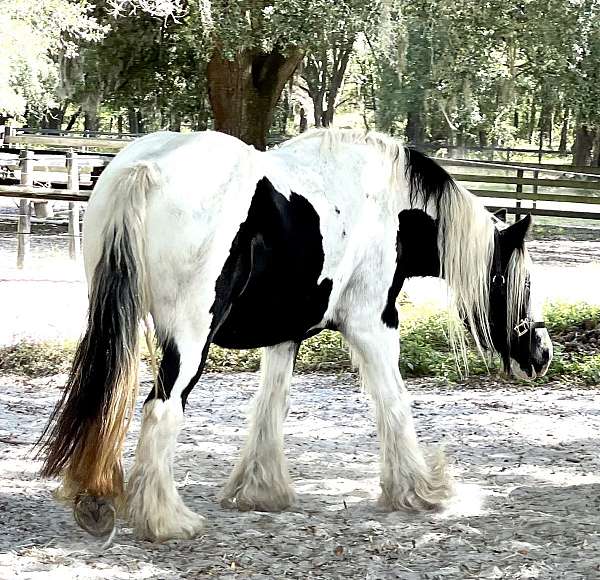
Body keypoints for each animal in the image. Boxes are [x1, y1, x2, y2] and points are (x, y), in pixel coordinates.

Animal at [38, 129, 552, 540]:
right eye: (519, 282)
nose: (542, 353)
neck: (388, 207)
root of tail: (145, 169)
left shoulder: (286, 335)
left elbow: (272, 405)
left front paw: (261, 491)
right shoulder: (373, 323)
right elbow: (394, 403)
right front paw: (419, 490)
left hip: (115, 325)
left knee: (104, 400)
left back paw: (97, 501)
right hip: (188, 341)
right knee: (161, 410)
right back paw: (166, 520)